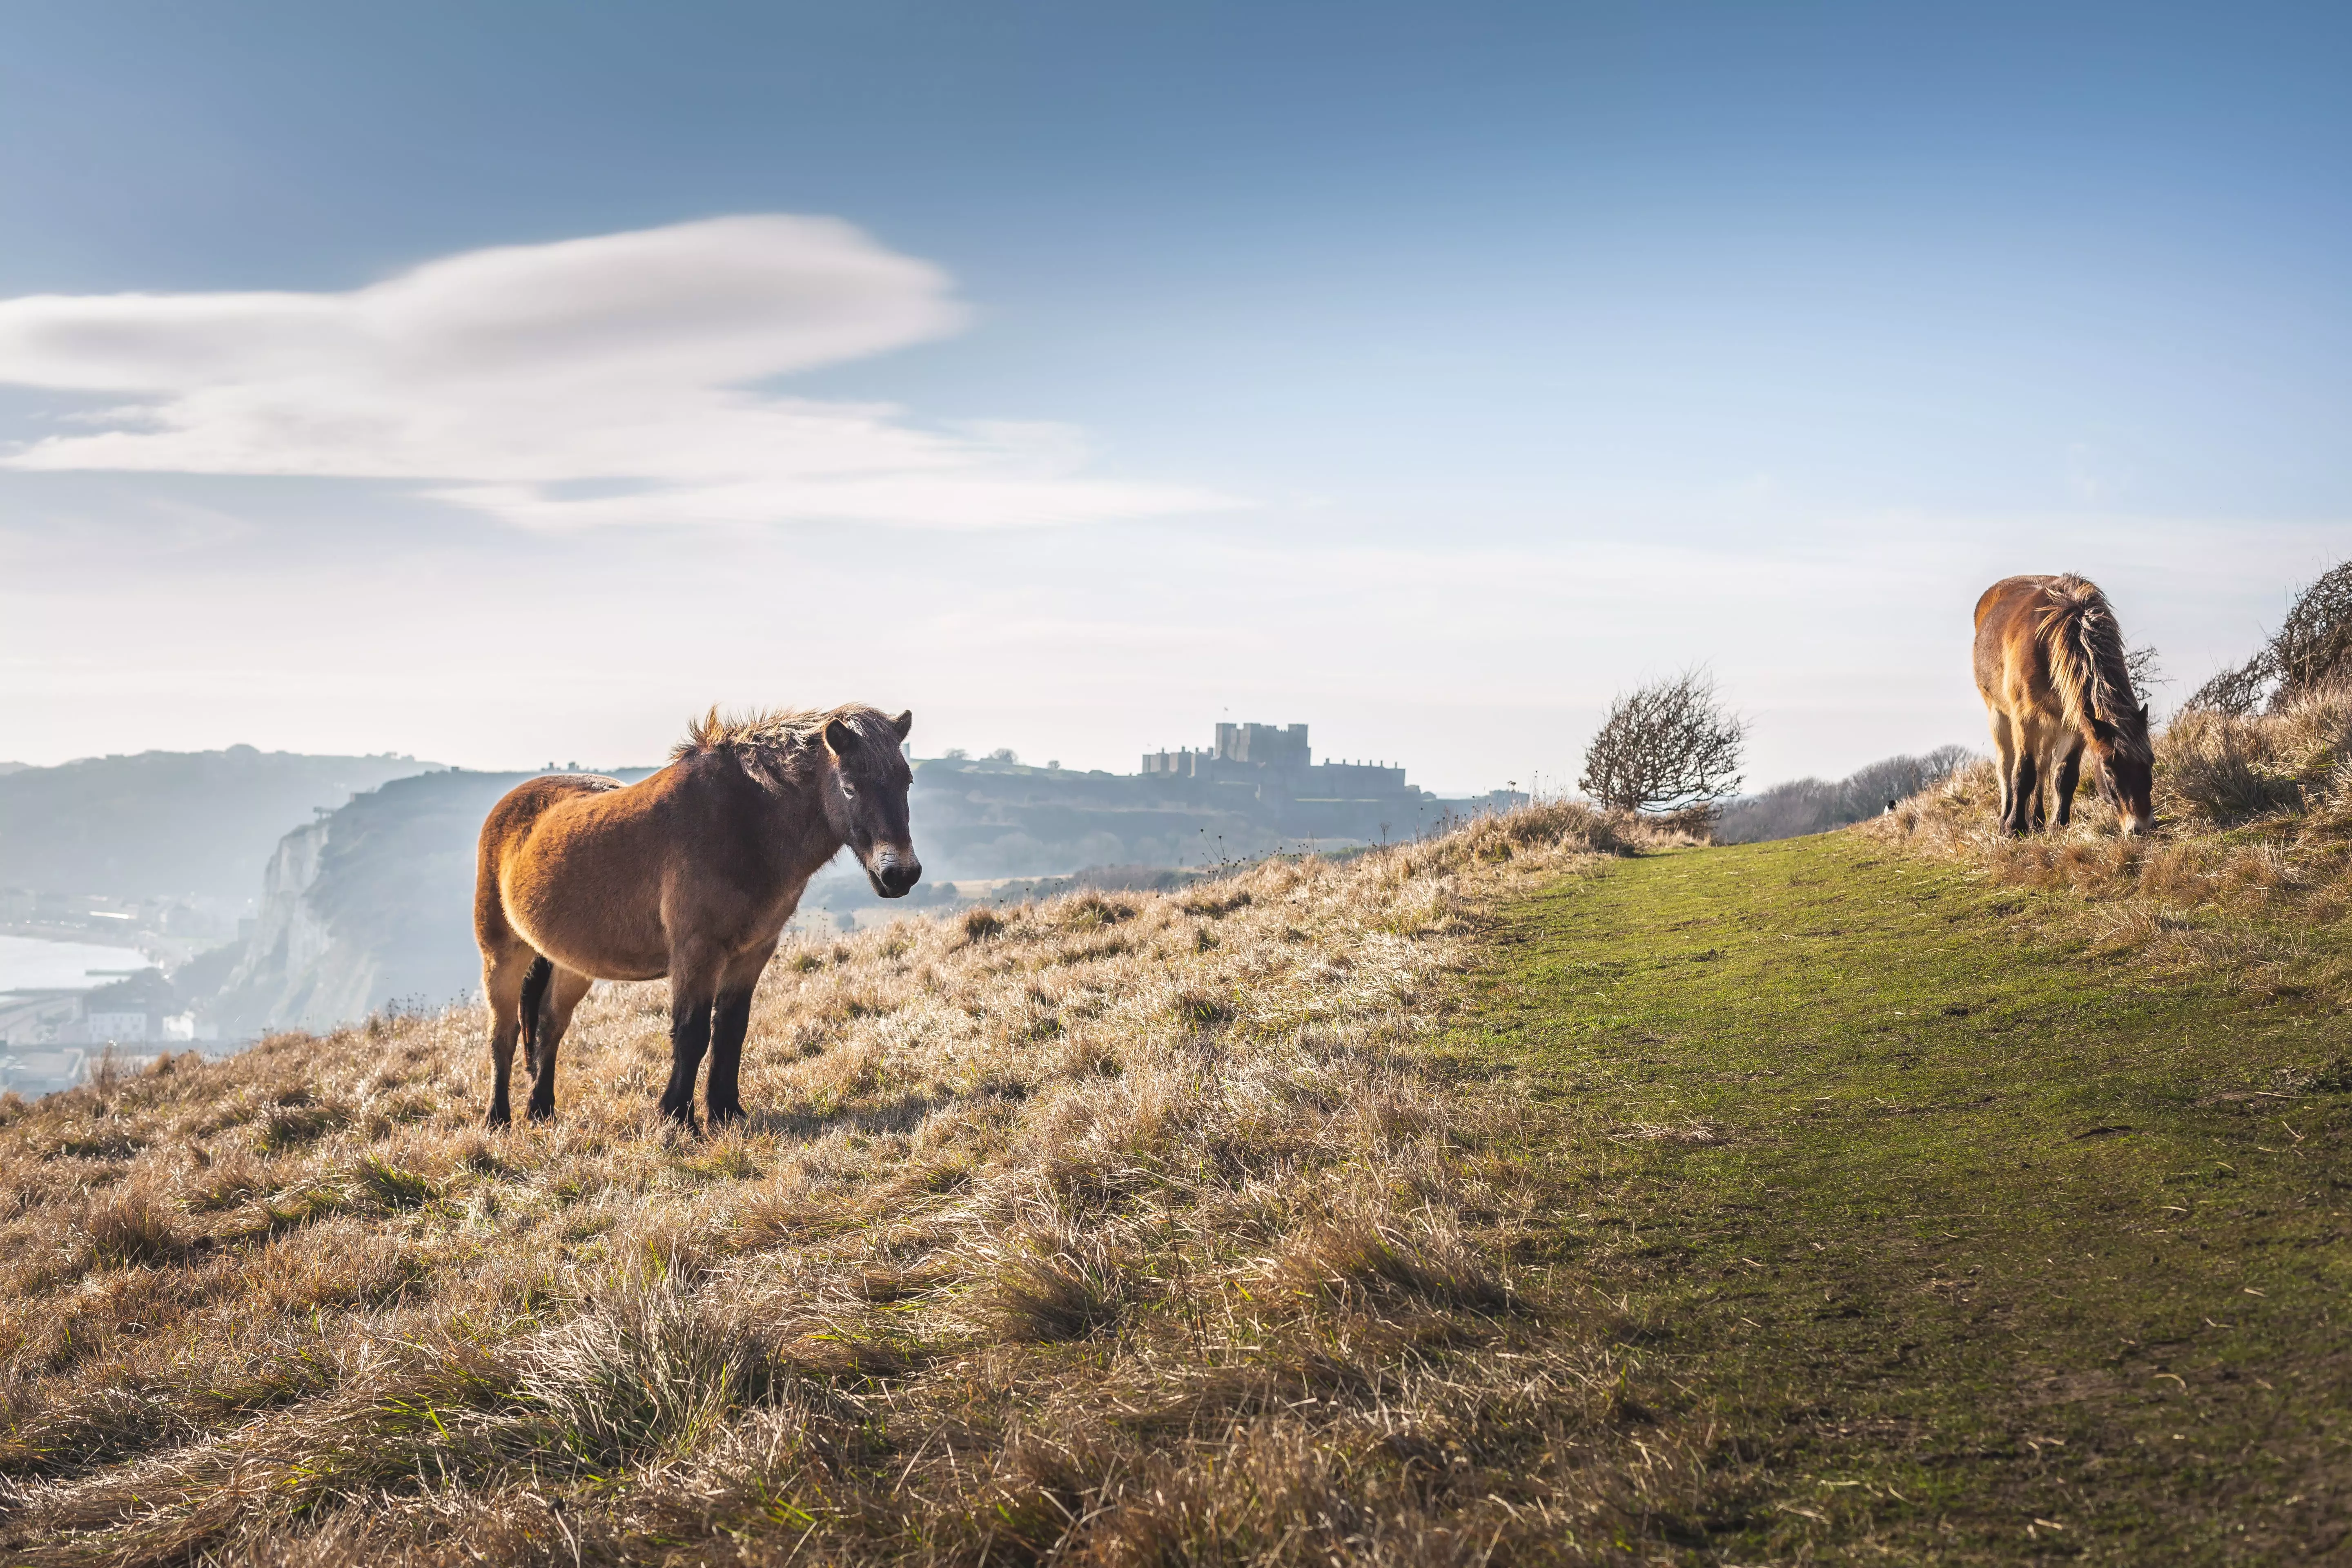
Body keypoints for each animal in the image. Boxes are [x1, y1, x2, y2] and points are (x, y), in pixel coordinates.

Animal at [475, 700, 917, 1128]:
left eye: (906, 782)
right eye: (849, 787)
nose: (901, 875)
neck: (744, 824)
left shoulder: (752, 953)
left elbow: (730, 1032)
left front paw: (725, 1113)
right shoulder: (697, 952)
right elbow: (691, 1034)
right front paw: (678, 1118)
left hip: (573, 964)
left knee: (550, 1024)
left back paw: (541, 1111)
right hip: (502, 954)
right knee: (503, 1034)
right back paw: (498, 1119)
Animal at [1976, 576, 2154, 842]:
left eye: (2151, 762)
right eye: (2109, 770)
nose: (2142, 827)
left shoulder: (2077, 724)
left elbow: (2065, 776)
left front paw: (2057, 825)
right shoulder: (2024, 718)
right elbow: (2023, 773)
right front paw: (2014, 827)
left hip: (2050, 725)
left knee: (2043, 767)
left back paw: (2038, 820)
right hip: (1999, 715)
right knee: (2006, 765)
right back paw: (2005, 818)